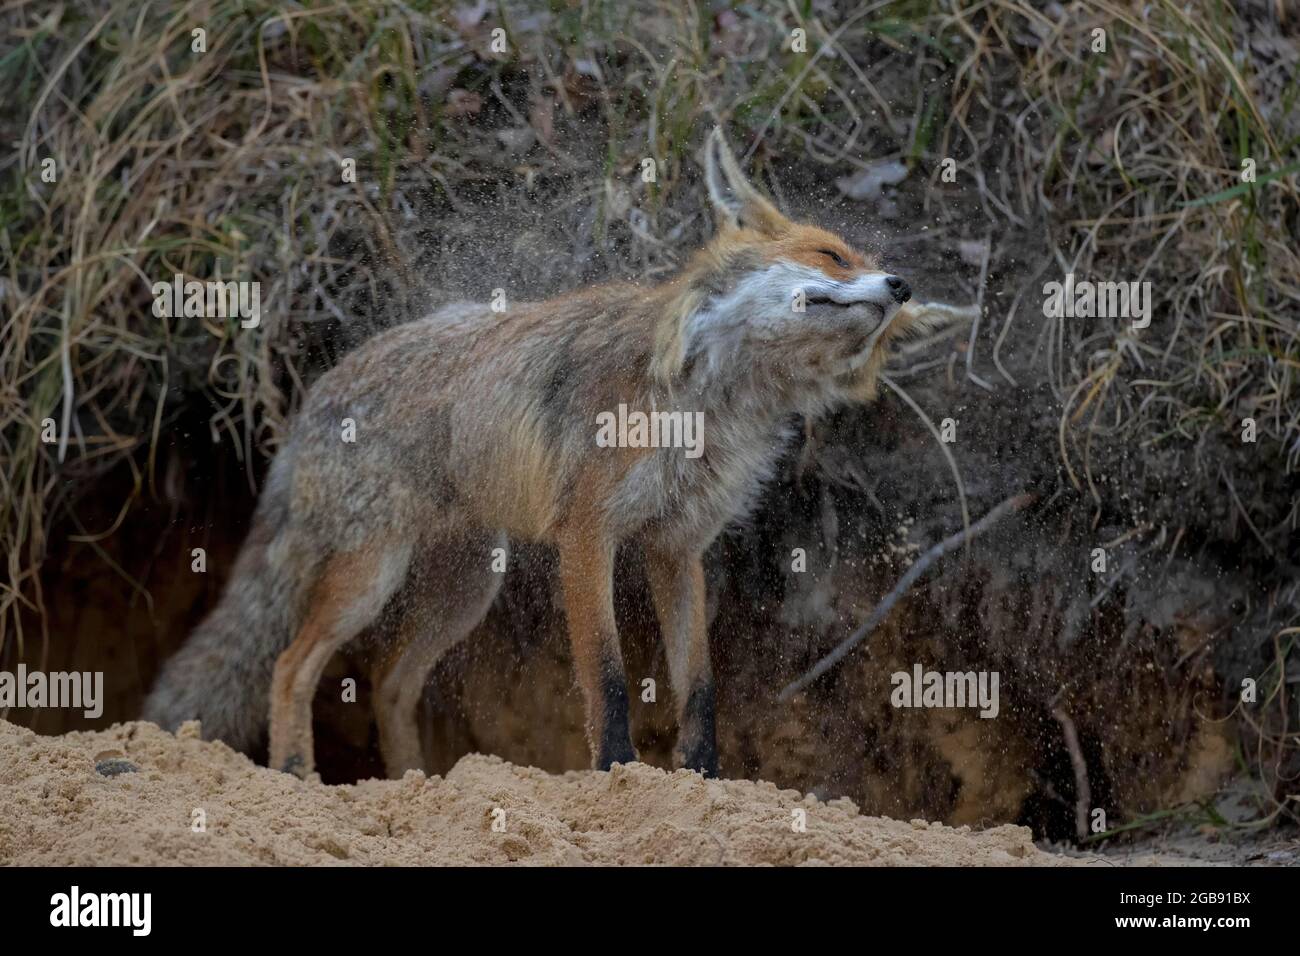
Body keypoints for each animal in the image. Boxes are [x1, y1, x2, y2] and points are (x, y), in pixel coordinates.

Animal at [144, 128, 977, 785]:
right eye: (830, 253)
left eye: (891, 321)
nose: (902, 285)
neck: (710, 406)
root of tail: (320, 389)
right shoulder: (589, 531)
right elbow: (606, 676)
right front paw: (616, 772)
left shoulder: (677, 548)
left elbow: (699, 686)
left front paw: (704, 781)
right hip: (371, 573)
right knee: (291, 666)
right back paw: (295, 776)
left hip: (467, 587)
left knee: (387, 683)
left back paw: (415, 785)